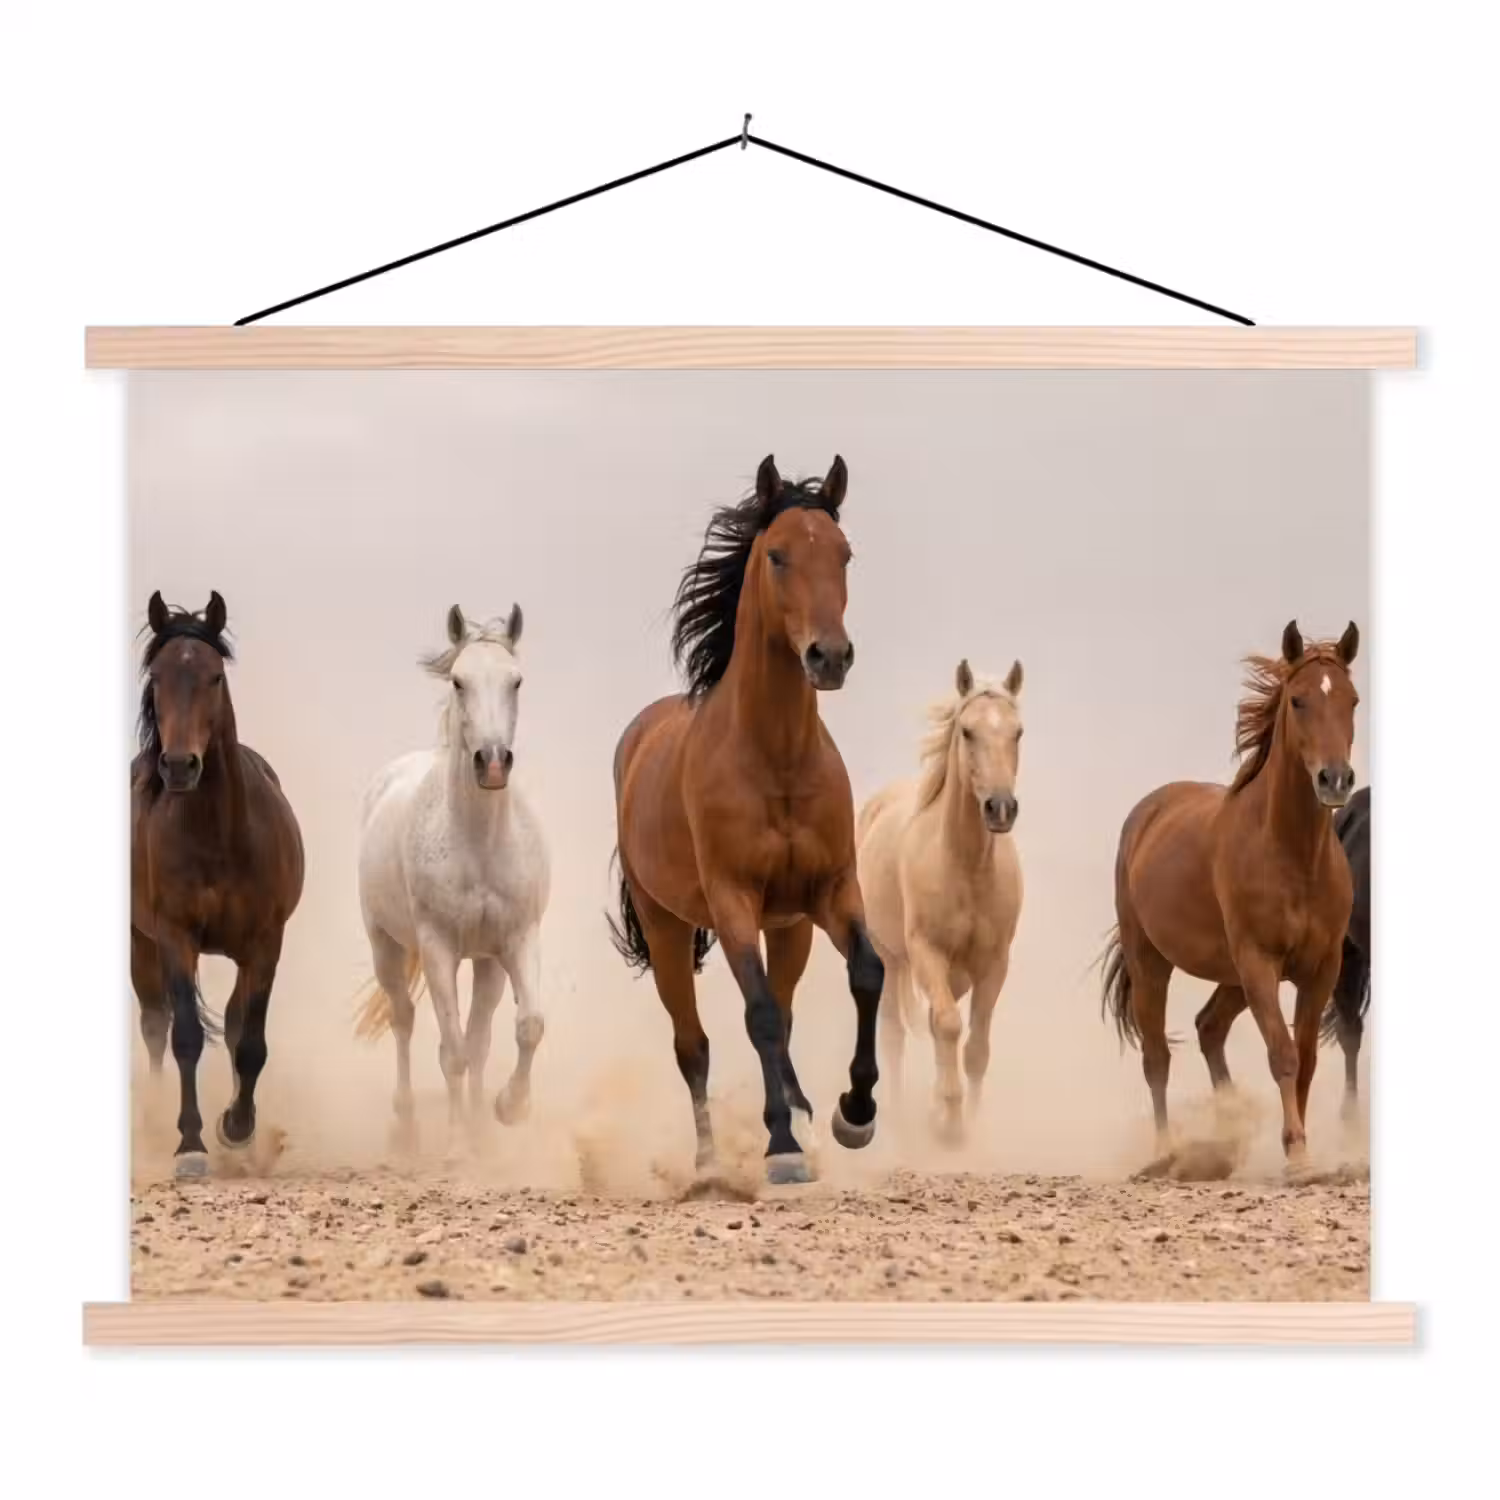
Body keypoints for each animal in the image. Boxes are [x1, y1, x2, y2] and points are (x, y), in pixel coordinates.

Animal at [131, 591, 305, 1177]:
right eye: (157, 675)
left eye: (213, 676)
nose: (180, 765)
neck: (218, 834)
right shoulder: (174, 936)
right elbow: (185, 1035)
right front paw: (190, 1144)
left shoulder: (266, 942)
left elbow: (250, 1041)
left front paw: (238, 1127)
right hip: (141, 944)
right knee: (155, 1023)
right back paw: (154, 1121)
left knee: (231, 1024)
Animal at [354, 604, 549, 1151]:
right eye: (460, 682)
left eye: (516, 680)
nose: (493, 763)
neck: (478, 845)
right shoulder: (438, 947)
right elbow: (453, 1052)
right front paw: (458, 1147)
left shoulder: (516, 940)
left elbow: (526, 1027)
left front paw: (507, 1110)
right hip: (386, 946)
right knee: (404, 1020)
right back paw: (407, 1127)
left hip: (484, 963)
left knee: (479, 1038)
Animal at [608, 454, 884, 1185]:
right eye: (779, 555)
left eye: (845, 554)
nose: (829, 657)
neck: (777, 760)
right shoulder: (731, 900)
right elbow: (754, 1014)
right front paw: (781, 1147)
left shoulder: (830, 892)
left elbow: (867, 973)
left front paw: (853, 1114)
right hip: (669, 929)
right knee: (694, 1044)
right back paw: (710, 1162)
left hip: (789, 929)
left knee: (783, 1015)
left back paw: (807, 1115)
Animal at [856, 657, 1025, 1144]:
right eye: (967, 731)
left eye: (1017, 732)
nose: (1000, 808)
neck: (965, 867)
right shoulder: (926, 953)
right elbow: (948, 1026)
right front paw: (949, 1123)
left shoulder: (993, 964)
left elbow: (976, 1047)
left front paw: (965, 1121)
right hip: (890, 959)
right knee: (894, 1034)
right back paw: (896, 1114)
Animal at [1100, 620, 1360, 1168]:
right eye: (1298, 700)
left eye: (1352, 700)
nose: (1335, 780)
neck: (1291, 854)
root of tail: (1148, 811)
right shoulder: (1259, 961)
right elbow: (1282, 1053)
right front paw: (1297, 1155)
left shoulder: (1320, 968)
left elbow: (1305, 1058)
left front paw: (1300, 1150)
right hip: (1152, 960)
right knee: (1157, 1056)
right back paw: (1165, 1153)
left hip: (1232, 977)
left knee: (1208, 1027)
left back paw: (1225, 1137)